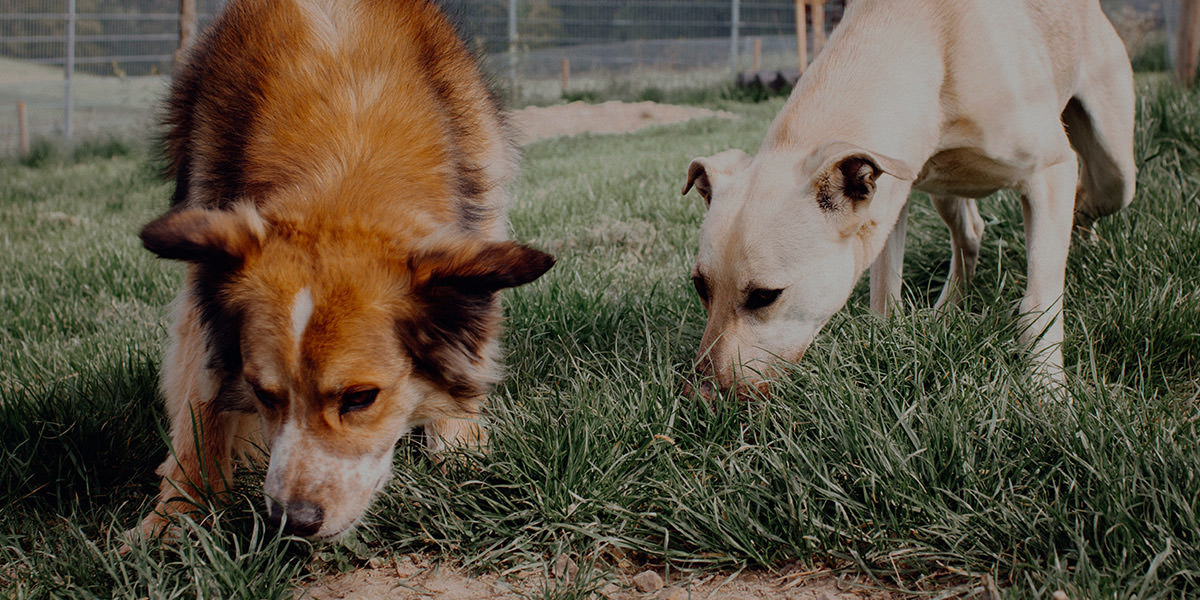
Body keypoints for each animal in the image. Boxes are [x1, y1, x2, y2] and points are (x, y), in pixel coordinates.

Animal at [133, 0, 554, 540]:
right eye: (263, 393)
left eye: (360, 398)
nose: (293, 521)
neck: (345, 157)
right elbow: (201, 392)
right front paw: (177, 515)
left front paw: (460, 446)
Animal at [686, 0, 1132, 393]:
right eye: (700, 286)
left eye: (765, 296)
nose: (702, 395)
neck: (928, 45)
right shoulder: (887, 201)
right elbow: (884, 291)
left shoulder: (1050, 171)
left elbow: (1039, 299)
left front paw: (1046, 387)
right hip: (945, 193)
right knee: (970, 233)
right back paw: (948, 309)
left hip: (1116, 166)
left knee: (1094, 194)